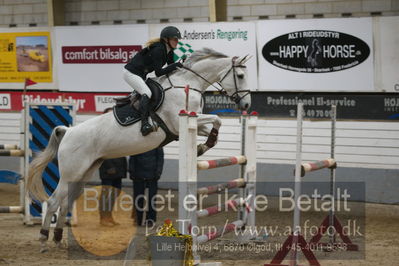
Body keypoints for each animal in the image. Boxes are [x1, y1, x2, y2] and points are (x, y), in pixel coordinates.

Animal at [26, 47, 252, 251]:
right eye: (240, 76)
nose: (247, 106)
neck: (187, 84)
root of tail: (68, 131)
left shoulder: (192, 123)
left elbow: (216, 123)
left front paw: (204, 145)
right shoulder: (180, 122)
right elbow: (216, 118)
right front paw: (201, 147)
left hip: (84, 172)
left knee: (66, 202)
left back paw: (57, 239)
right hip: (70, 172)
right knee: (54, 201)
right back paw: (43, 239)